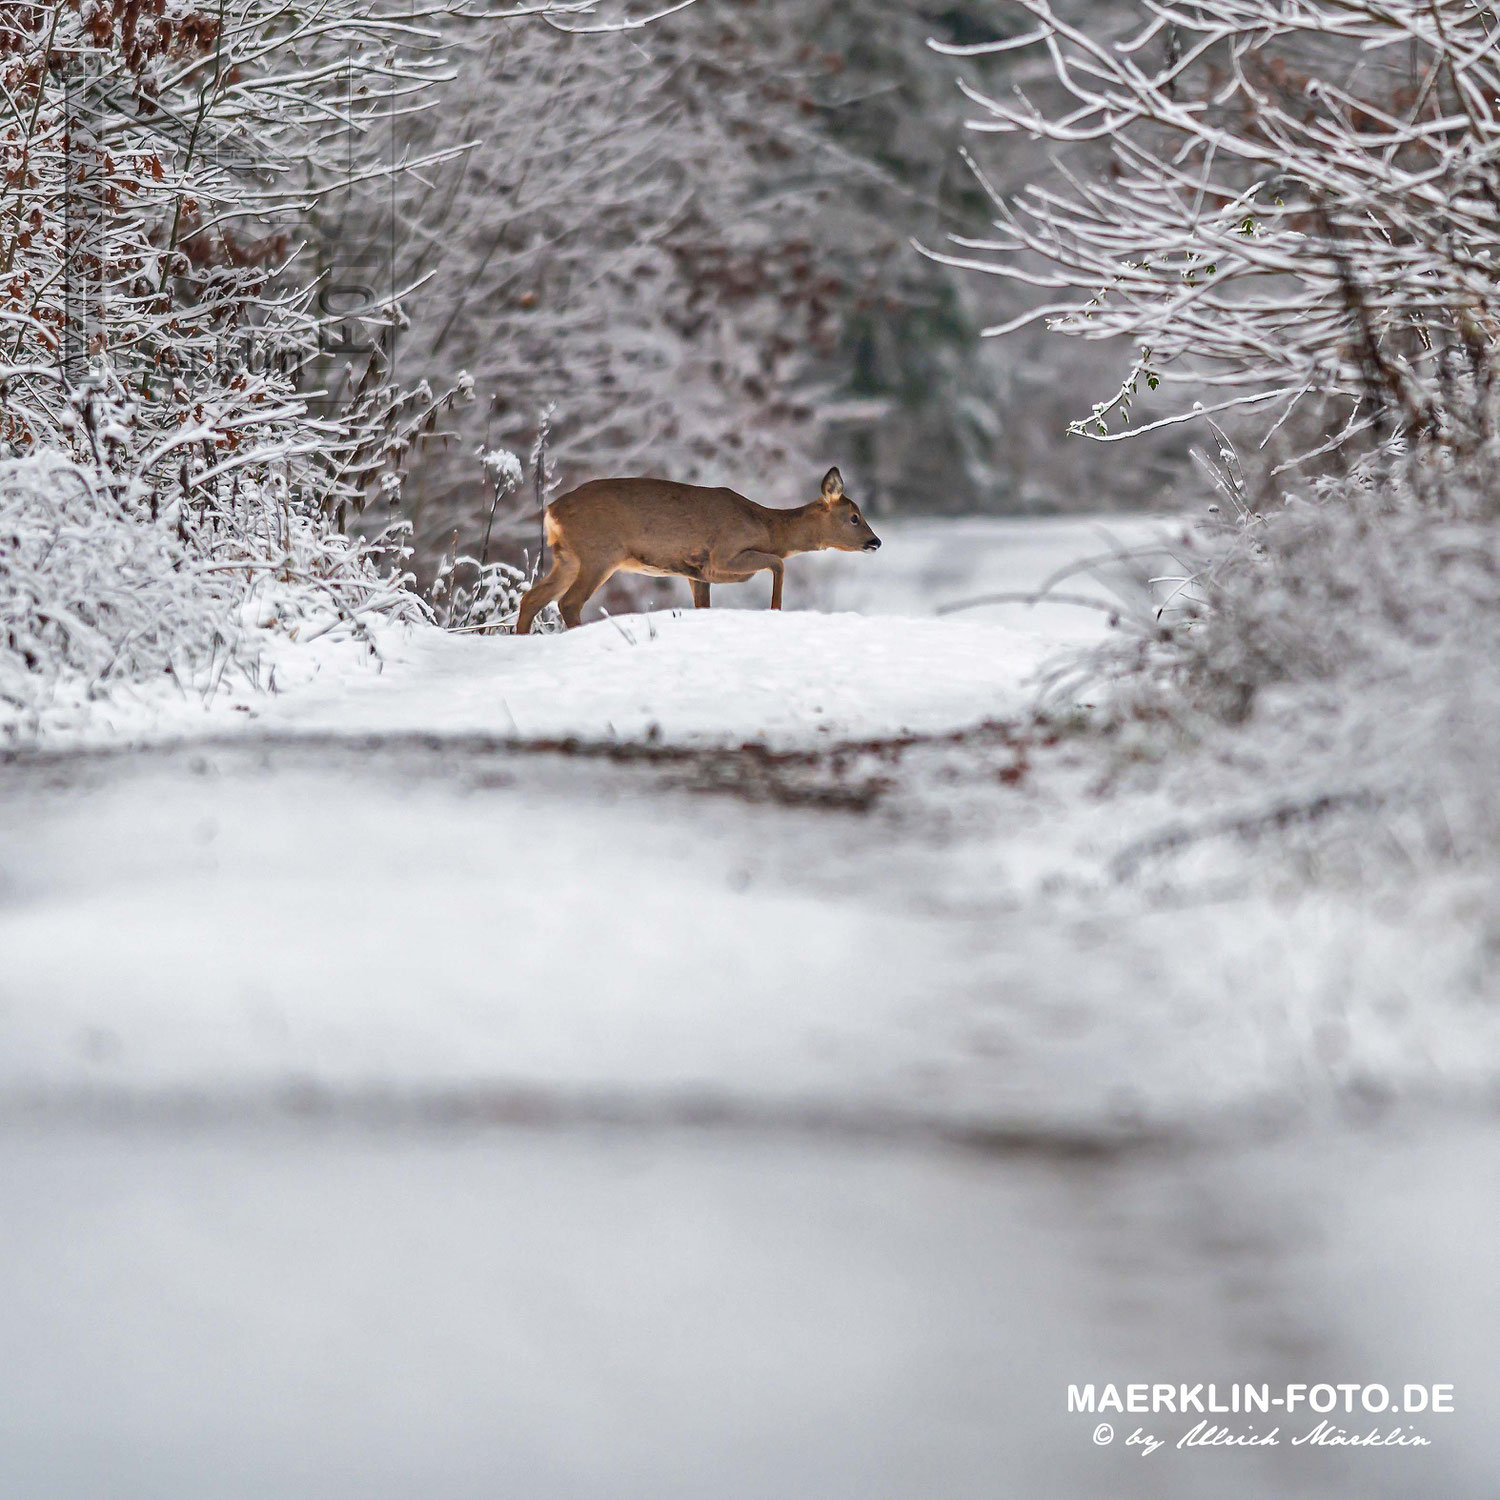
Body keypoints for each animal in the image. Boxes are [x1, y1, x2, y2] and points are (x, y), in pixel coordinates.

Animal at [516, 468, 876, 633]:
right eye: (854, 517)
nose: (876, 541)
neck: (766, 526)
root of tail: (551, 511)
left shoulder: (696, 572)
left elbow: (703, 605)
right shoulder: (723, 555)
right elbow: (777, 563)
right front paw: (775, 609)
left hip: (569, 557)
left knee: (532, 597)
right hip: (599, 554)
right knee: (568, 601)